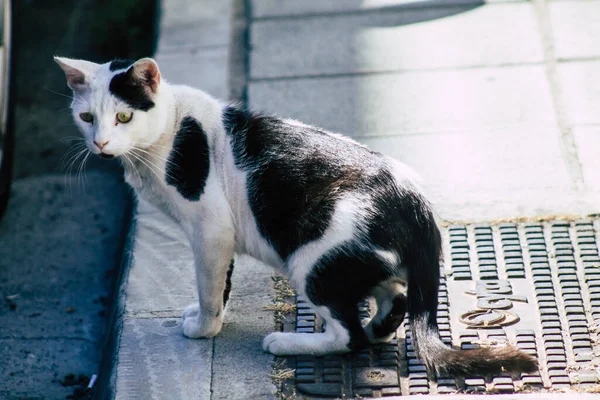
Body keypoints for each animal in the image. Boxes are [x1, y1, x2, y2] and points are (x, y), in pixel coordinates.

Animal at [54, 56, 536, 378]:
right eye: (86, 117)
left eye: (123, 116)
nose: (100, 143)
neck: (169, 132)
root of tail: (418, 206)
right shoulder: (221, 238)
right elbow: (222, 283)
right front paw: (213, 316)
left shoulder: (210, 229)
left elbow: (210, 287)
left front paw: (205, 328)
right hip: (356, 261)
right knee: (394, 299)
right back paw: (376, 328)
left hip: (312, 261)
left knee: (349, 338)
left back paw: (289, 342)